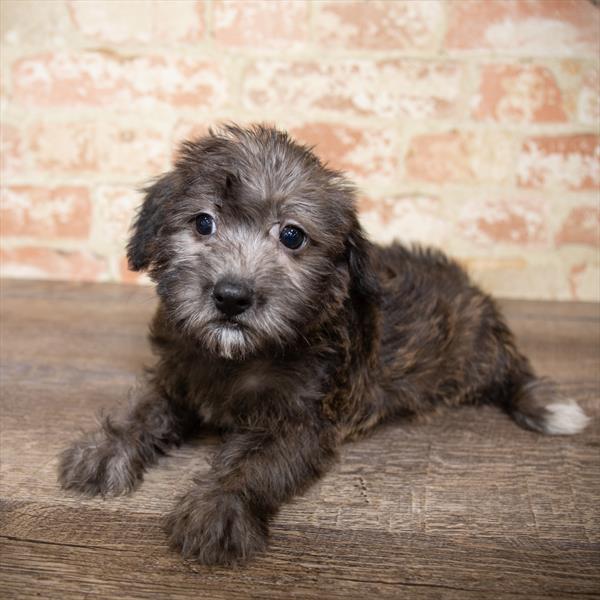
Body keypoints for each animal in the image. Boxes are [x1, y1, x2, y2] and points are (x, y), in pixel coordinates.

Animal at [57, 124, 592, 564]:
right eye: (203, 222)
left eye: (292, 235)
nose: (232, 297)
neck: (237, 359)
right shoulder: (177, 375)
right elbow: (143, 410)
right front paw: (105, 450)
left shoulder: (301, 422)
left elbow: (252, 464)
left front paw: (218, 509)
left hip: (479, 351)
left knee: (513, 375)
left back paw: (542, 405)